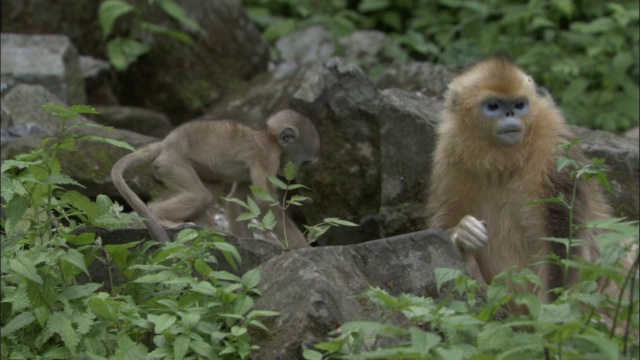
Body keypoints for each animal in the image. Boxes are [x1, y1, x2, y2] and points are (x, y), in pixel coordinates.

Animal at [111, 109, 320, 248]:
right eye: (305, 163)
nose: (296, 170)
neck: (269, 139)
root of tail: (165, 145)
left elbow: (238, 198)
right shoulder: (268, 158)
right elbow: (264, 202)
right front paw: (301, 247)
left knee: (210, 194)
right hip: (172, 164)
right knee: (199, 196)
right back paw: (160, 216)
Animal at [424, 57, 620, 306]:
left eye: (519, 105)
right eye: (493, 106)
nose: (510, 114)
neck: (504, 162)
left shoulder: (553, 150)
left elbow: (564, 243)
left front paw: (553, 310)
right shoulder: (449, 155)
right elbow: (442, 226)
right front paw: (464, 234)